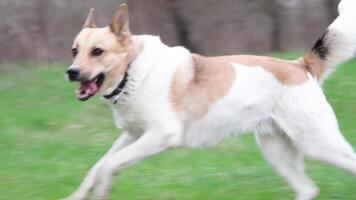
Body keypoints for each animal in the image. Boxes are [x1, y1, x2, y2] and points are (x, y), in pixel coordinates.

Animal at [64, 0, 356, 199]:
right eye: (75, 51)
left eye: (98, 51)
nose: (71, 72)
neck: (132, 71)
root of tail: (300, 65)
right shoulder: (133, 135)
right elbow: (99, 166)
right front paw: (79, 195)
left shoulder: (161, 135)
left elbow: (109, 165)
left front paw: (103, 191)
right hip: (277, 152)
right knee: (308, 189)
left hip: (317, 143)